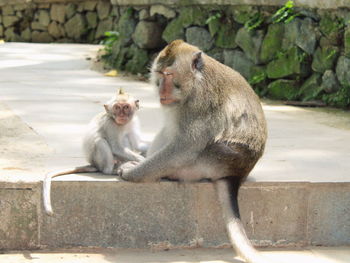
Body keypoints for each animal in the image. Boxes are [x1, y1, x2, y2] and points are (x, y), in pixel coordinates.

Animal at [43, 89, 146, 217]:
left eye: (126, 107)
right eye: (117, 108)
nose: (121, 115)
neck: (124, 124)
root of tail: (93, 164)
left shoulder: (134, 122)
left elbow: (137, 144)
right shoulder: (111, 124)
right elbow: (115, 147)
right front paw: (143, 161)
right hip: (98, 161)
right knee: (101, 142)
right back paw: (111, 170)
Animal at [119, 40, 270, 263]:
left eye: (169, 74)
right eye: (160, 74)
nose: (161, 90)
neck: (195, 82)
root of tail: (236, 174)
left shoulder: (198, 104)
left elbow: (185, 146)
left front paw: (131, 173)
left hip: (208, 162)